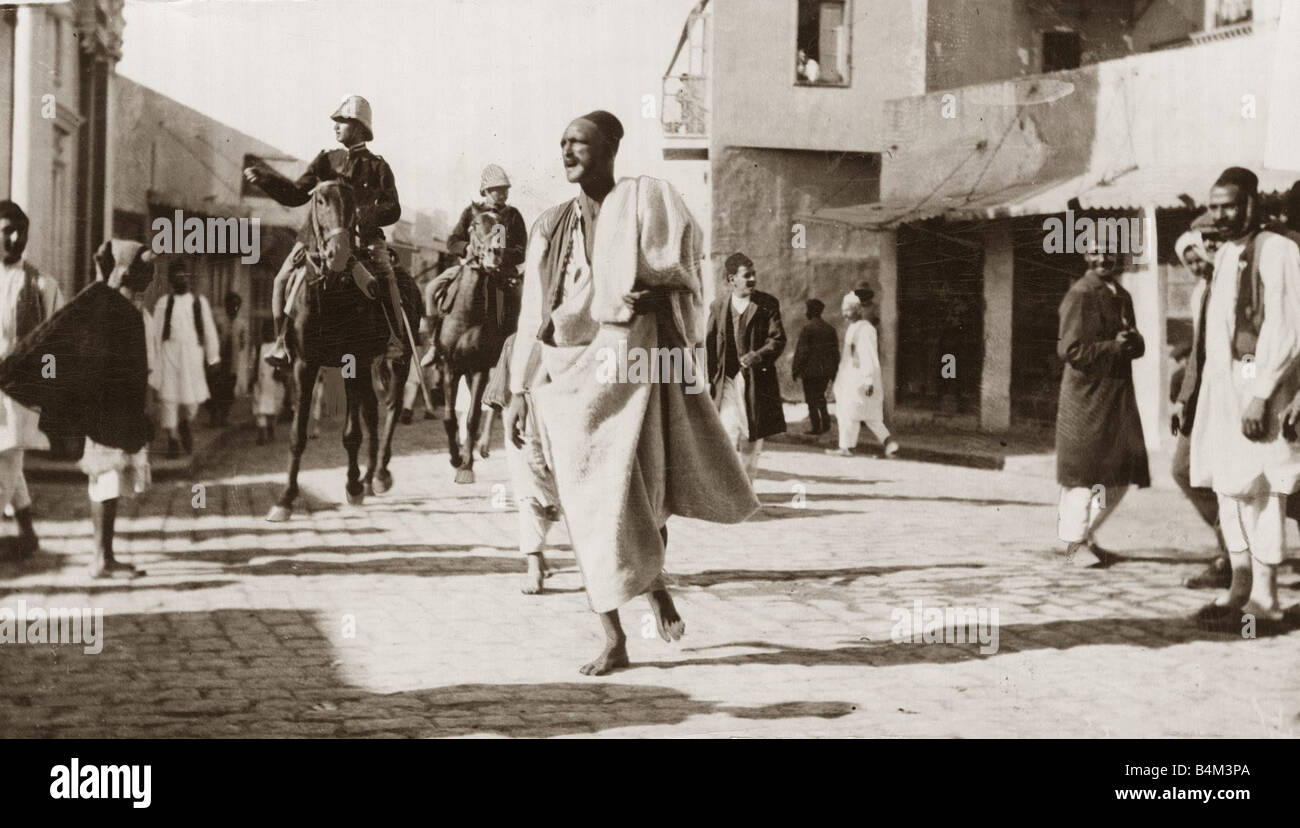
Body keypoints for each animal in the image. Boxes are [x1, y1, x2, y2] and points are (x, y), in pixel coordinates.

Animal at [262, 179, 384, 522]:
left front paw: (353, 486)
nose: (338, 253)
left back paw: (370, 479)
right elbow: (297, 435)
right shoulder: (304, 365)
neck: (330, 291)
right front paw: (285, 498)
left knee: (369, 416)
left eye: (353, 202)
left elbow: (352, 433)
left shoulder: (354, 363)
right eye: (319, 201)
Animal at [434, 205, 520, 483]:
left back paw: (481, 448)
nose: (495, 252)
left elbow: (472, 417)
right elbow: (450, 418)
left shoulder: (480, 368)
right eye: (474, 225)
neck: (467, 314)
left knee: (493, 408)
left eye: (503, 227)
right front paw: (455, 457)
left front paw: (466, 467)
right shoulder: (451, 367)